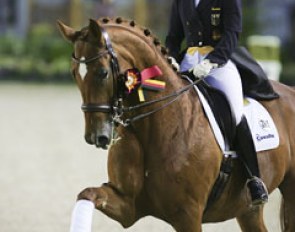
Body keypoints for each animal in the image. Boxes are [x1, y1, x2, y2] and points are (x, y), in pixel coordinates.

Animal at [59, 17, 295, 231]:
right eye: (74, 73)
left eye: (103, 73)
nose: (95, 136)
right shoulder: (127, 205)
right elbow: (87, 193)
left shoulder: (187, 215)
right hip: (247, 209)